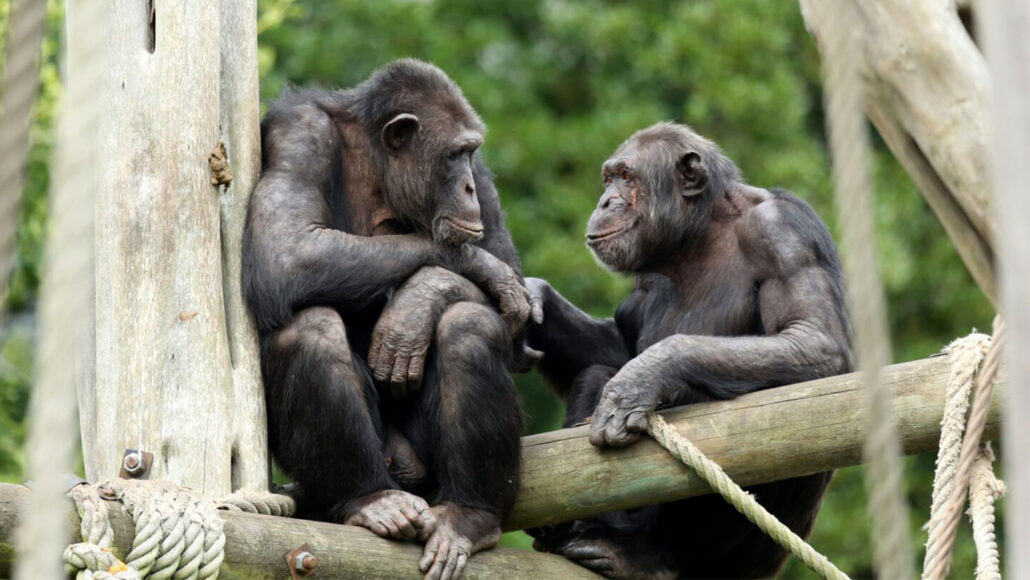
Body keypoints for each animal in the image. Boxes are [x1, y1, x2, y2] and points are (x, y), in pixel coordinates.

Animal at [243, 60, 531, 580]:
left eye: (469, 153)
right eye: (454, 155)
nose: (467, 187)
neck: (379, 165)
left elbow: (518, 312)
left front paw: (422, 298)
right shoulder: (299, 135)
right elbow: (286, 250)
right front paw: (475, 266)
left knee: (469, 327)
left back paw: (469, 515)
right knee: (310, 329)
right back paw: (370, 498)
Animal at [527, 121, 848, 576]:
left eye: (627, 177)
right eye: (608, 179)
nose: (606, 200)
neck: (696, 238)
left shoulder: (783, 232)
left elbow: (814, 337)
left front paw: (644, 377)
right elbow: (615, 347)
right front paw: (533, 298)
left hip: (746, 562)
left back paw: (642, 555)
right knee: (595, 372)